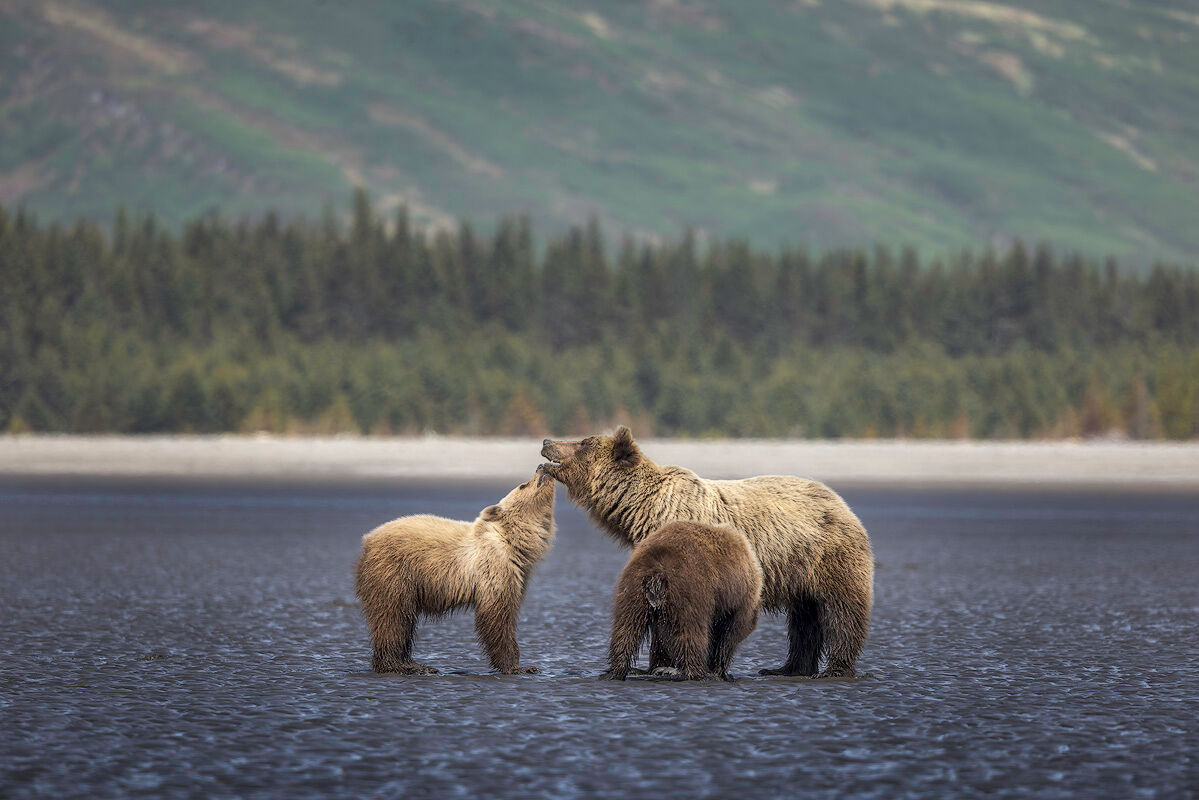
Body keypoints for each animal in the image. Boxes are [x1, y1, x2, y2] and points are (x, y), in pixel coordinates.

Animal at [354, 467, 555, 675]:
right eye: (523, 485)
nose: (541, 467)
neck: (514, 543)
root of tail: (367, 540)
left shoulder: (520, 573)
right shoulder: (493, 567)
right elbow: (497, 615)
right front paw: (519, 666)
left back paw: (414, 664)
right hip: (394, 572)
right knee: (393, 618)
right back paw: (399, 665)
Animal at [600, 521, 762, 682]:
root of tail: (657, 573)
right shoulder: (740, 599)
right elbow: (731, 633)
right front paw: (719, 670)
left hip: (633, 590)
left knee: (626, 628)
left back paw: (616, 670)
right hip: (689, 592)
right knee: (691, 632)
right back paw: (696, 672)